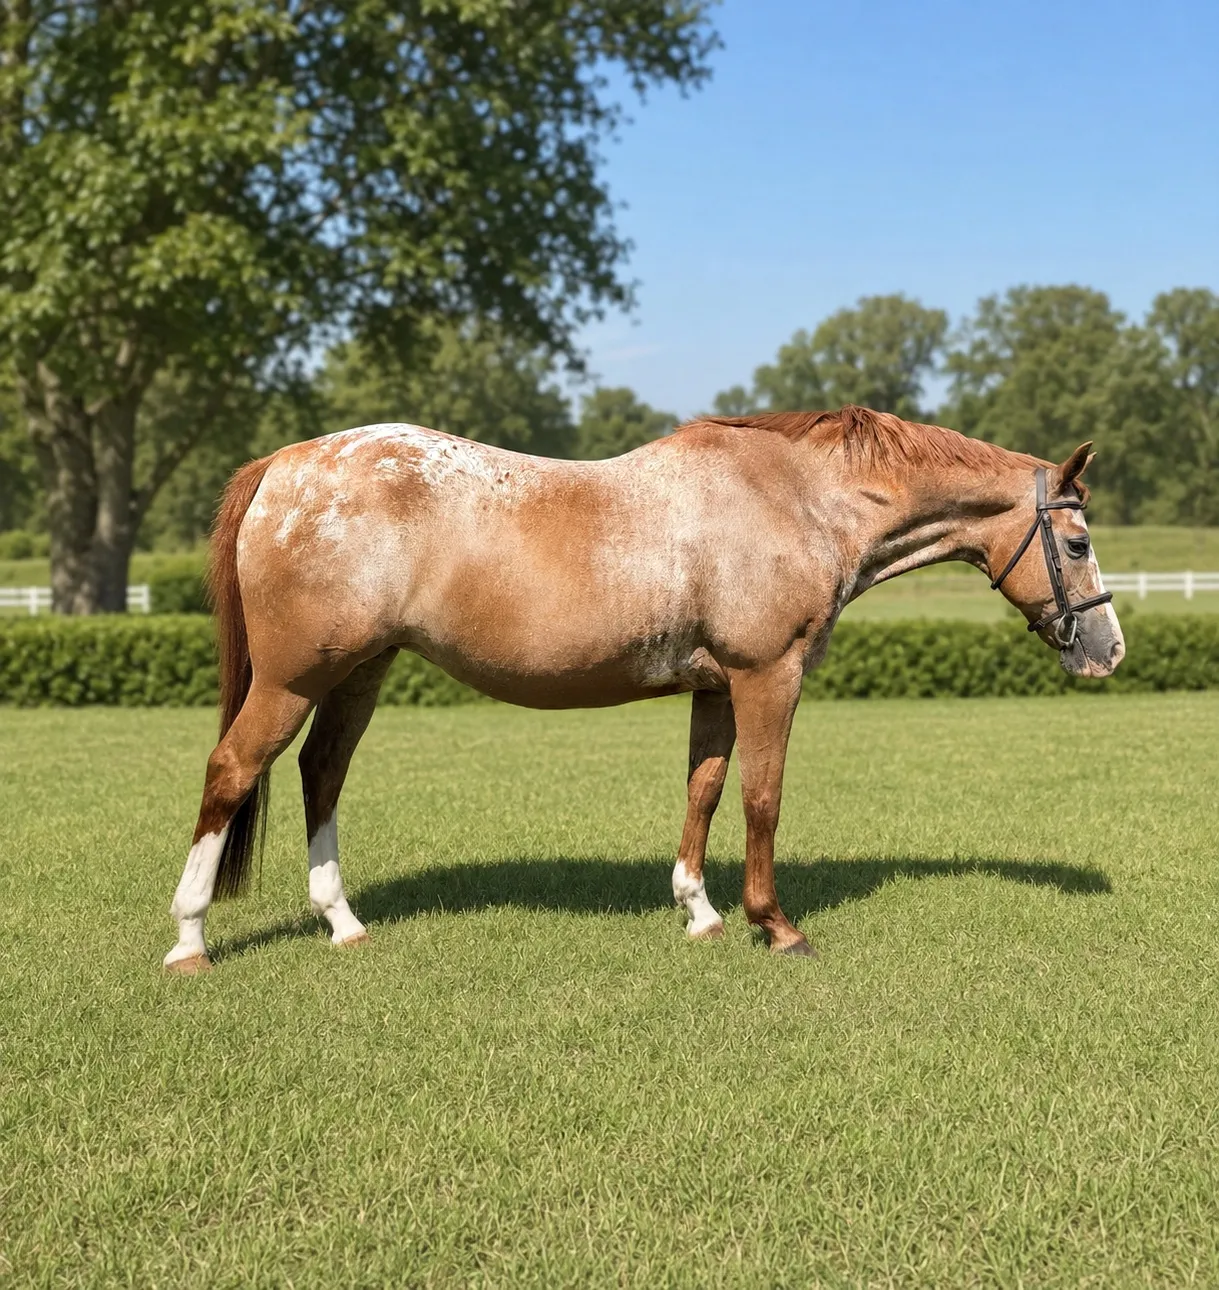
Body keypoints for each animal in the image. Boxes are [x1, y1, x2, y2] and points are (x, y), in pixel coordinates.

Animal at [163, 405, 1125, 972]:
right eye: (1077, 545)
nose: (1107, 652)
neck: (797, 498)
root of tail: (285, 464)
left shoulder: (717, 688)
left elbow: (703, 790)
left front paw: (699, 912)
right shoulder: (767, 677)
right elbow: (762, 797)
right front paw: (775, 926)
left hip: (361, 671)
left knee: (320, 773)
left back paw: (343, 923)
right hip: (292, 679)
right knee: (231, 771)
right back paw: (190, 940)